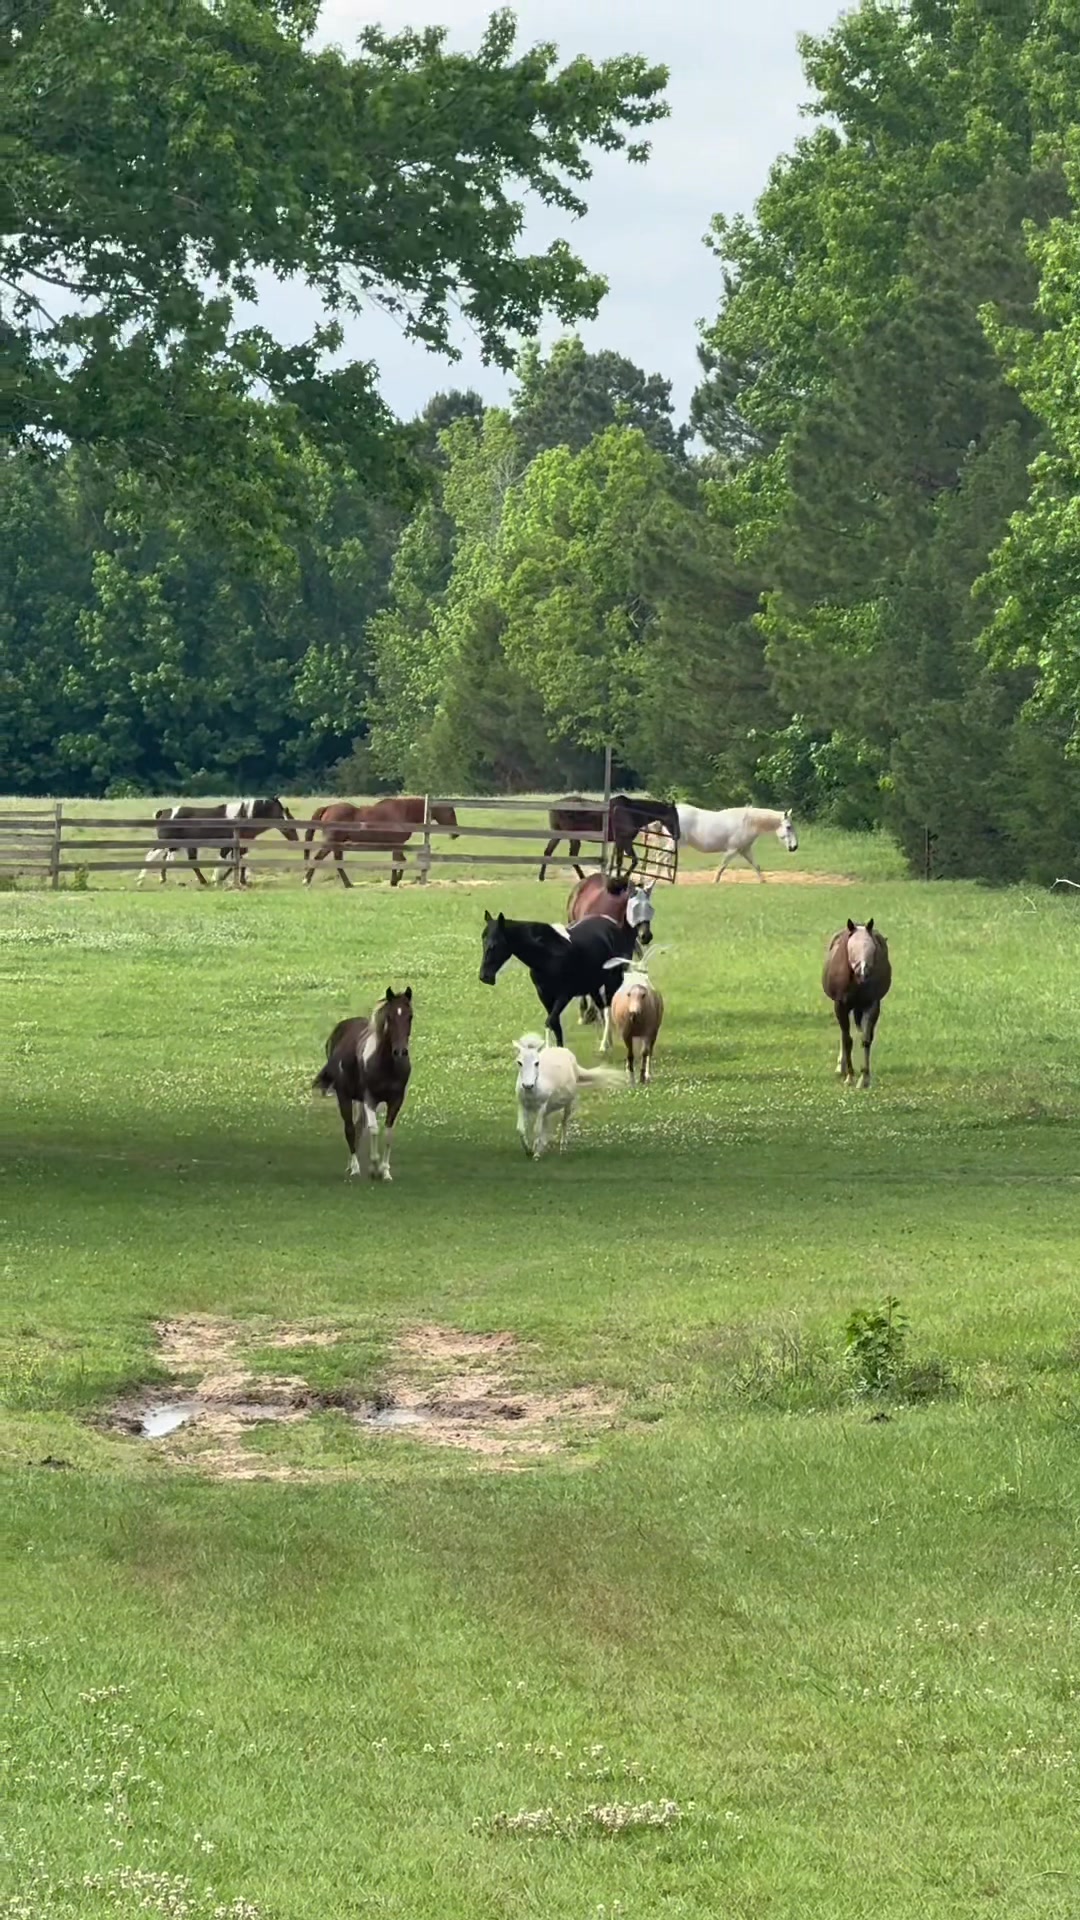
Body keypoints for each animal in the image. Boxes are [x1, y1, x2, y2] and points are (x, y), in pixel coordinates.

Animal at [136, 798, 297, 887]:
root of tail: (164, 812)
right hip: (166, 843)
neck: (242, 817)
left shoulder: (239, 847)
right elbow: (223, 861)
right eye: (282, 813)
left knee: (173, 860)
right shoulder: (227, 846)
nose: (295, 838)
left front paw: (241, 881)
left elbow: (239, 863)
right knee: (151, 857)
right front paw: (217, 880)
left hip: (178, 845)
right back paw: (140, 881)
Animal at [302, 797, 460, 887]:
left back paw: (348, 884)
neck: (403, 812)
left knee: (337, 862)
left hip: (338, 844)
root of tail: (327, 808)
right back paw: (306, 881)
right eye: (450, 812)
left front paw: (394, 880)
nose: (455, 834)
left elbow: (400, 861)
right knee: (318, 858)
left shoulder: (396, 845)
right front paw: (394, 881)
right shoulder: (397, 844)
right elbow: (398, 862)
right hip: (332, 842)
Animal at [312, 987, 413, 1179]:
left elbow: (388, 1133)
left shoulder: (396, 1100)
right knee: (350, 1129)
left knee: (358, 1127)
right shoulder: (369, 1099)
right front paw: (374, 1168)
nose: (400, 1052)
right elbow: (373, 1129)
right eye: (389, 1017)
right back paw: (355, 1168)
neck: (386, 1065)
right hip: (344, 1096)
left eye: (410, 1016)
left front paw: (385, 1172)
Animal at [479, 910, 636, 1049]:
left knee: (608, 1011)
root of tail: (614, 927)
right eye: (483, 941)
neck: (548, 954)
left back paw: (604, 1045)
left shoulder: (564, 995)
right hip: (593, 987)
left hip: (612, 982)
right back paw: (607, 1043)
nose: (484, 976)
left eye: (494, 945)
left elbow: (550, 1022)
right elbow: (555, 1025)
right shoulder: (544, 996)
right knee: (602, 1010)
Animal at [822, 919, 892, 1089]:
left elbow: (865, 1039)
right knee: (844, 1035)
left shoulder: (872, 1005)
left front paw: (864, 1079)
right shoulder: (840, 1005)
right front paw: (850, 1077)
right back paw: (841, 1068)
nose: (862, 973)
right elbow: (847, 1040)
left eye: (872, 949)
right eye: (852, 948)